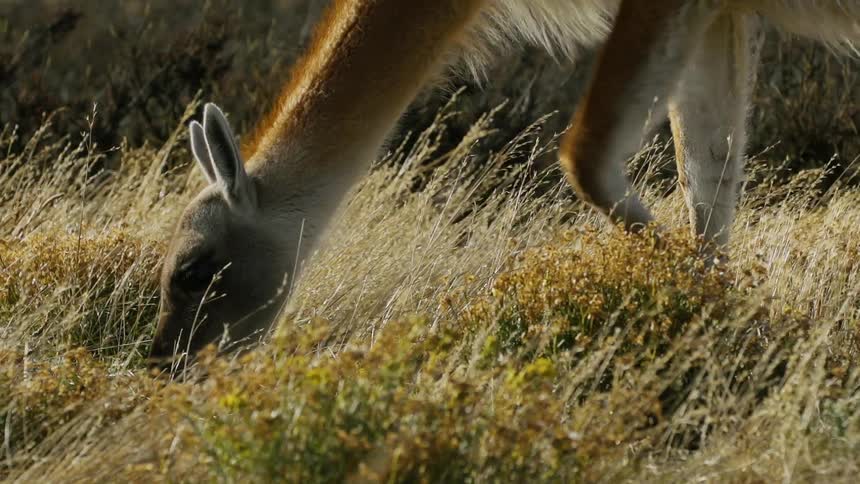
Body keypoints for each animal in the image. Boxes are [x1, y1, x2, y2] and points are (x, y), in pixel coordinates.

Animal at [148, 0, 860, 367]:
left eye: (192, 270)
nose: (166, 364)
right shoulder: (723, 13)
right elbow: (709, 174)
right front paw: (730, 326)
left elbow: (588, 157)